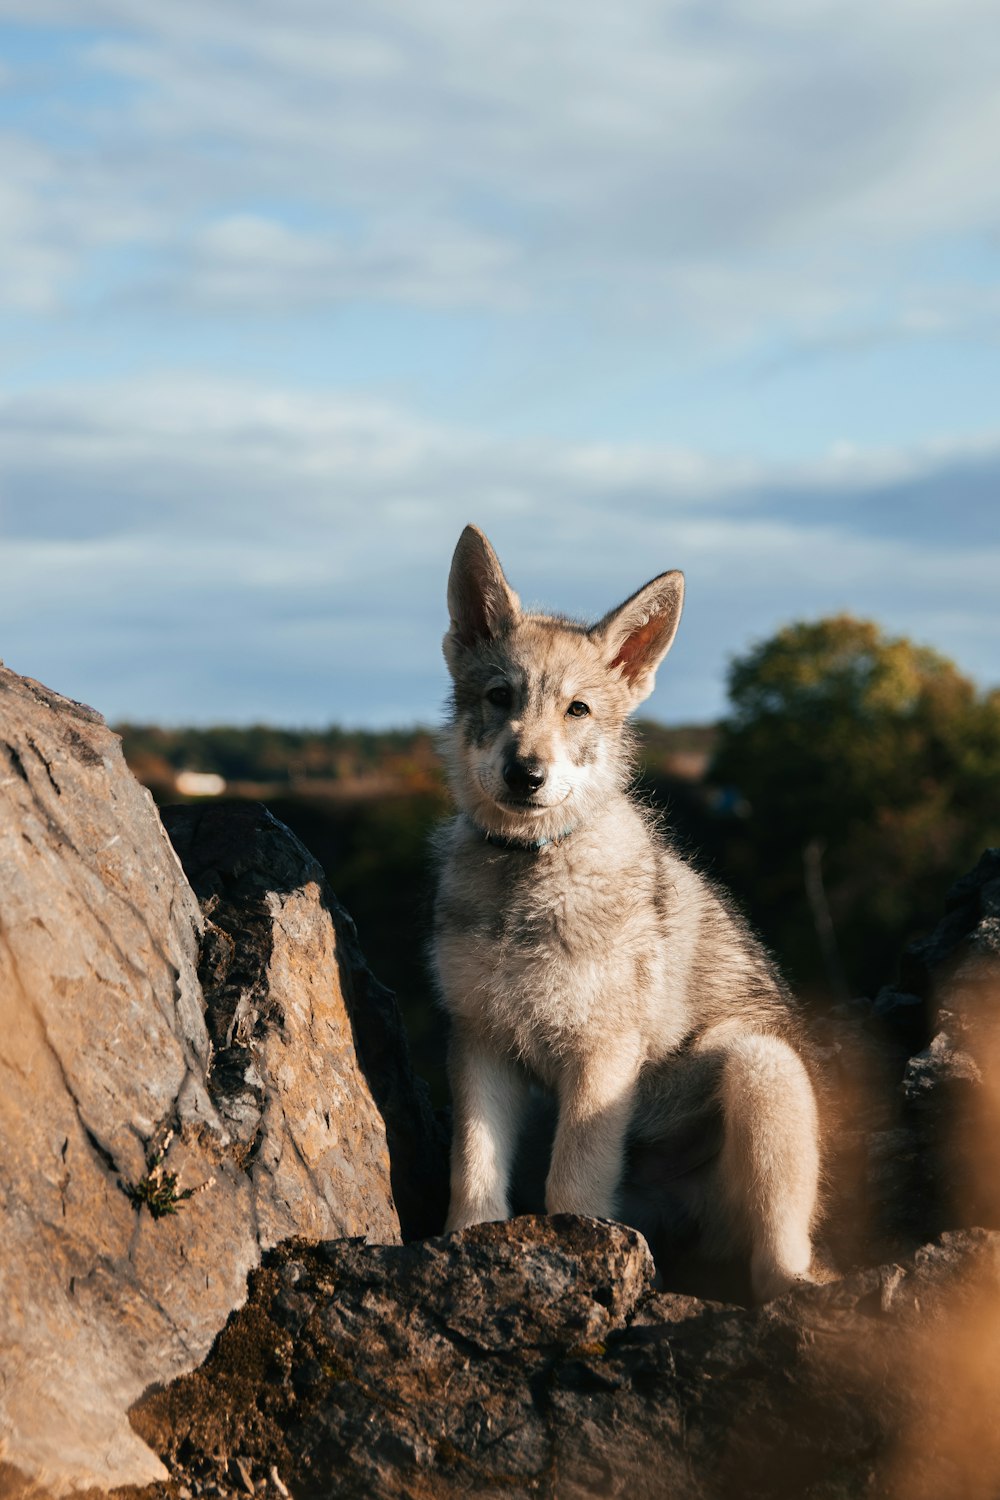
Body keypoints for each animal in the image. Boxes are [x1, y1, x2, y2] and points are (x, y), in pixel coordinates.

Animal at [431, 528, 821, 1302]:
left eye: (578, 710)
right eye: (499, 696)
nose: (526, 774)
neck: (528, 873)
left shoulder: (601, 1057)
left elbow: (572, 1186)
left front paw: (575, 1252)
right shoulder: (481, 1042)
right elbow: (475, 1167)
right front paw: (467, 1246)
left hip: (762, 1067)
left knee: (781, 1254)